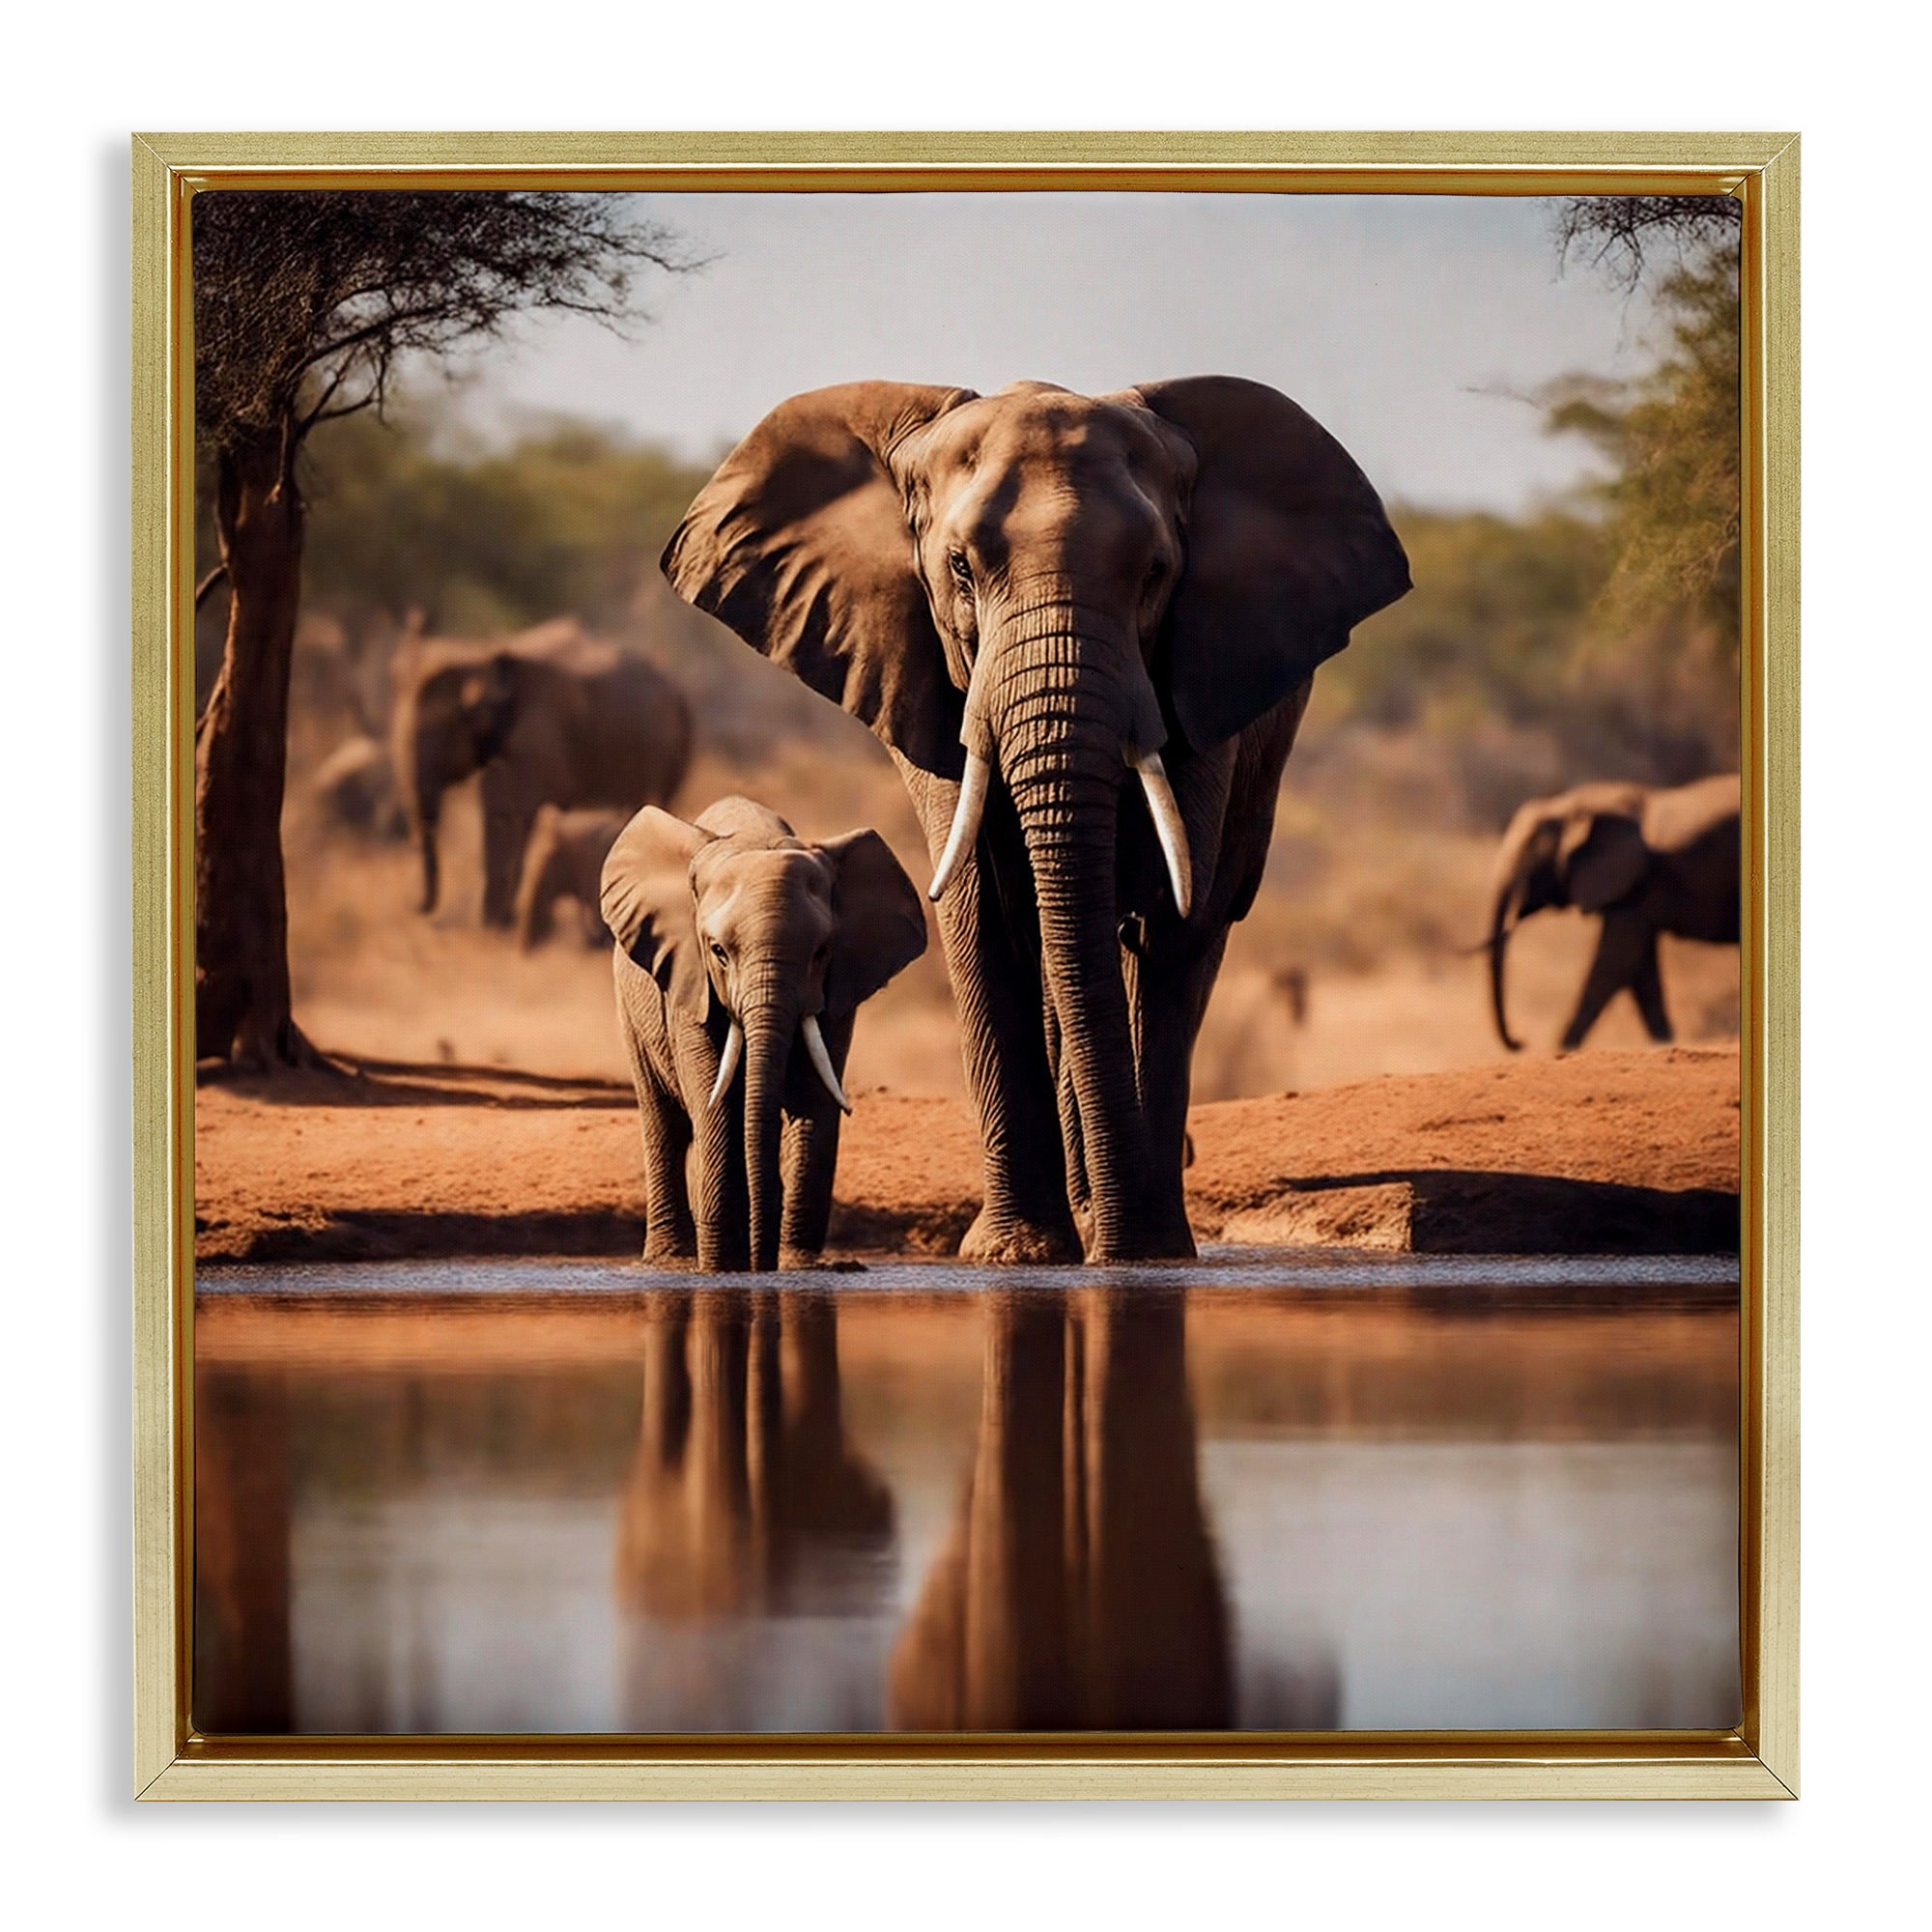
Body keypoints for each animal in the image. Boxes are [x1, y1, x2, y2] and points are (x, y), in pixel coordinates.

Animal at [394, 619, 692, 928]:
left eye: (441, 733)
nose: (414, 909)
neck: (480, 657)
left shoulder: (538, 741)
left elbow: (520, 814)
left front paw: (501, 923)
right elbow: (496, 815)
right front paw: (491, 924)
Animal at [601, 795, 928, 1273]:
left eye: (821, 952)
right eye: (718, 951)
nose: (761, 1262)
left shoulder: (838, 989)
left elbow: (814, 1098)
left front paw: (798, 1266)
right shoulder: (689, 978)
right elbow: (714, 1100)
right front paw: (722, 1268)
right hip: (631, 1007)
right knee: (664, 1122)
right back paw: (670, 1261)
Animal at [662, 377, 1409, 1263]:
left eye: (1157, 572)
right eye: (959, 567)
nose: (1116, 1245)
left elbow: (1168, 919)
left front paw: (1147, 1251)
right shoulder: (930, 682)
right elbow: (982, 911)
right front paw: (1019, 1254)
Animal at [1486, 773, 1741, 1052]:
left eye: (1530, 861)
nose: (1521, 1042)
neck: (1573, 803)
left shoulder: (1635, 882)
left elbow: (1615, 960)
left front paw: (1562, 1049)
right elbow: (1639, 968)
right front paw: (1664, 1044)